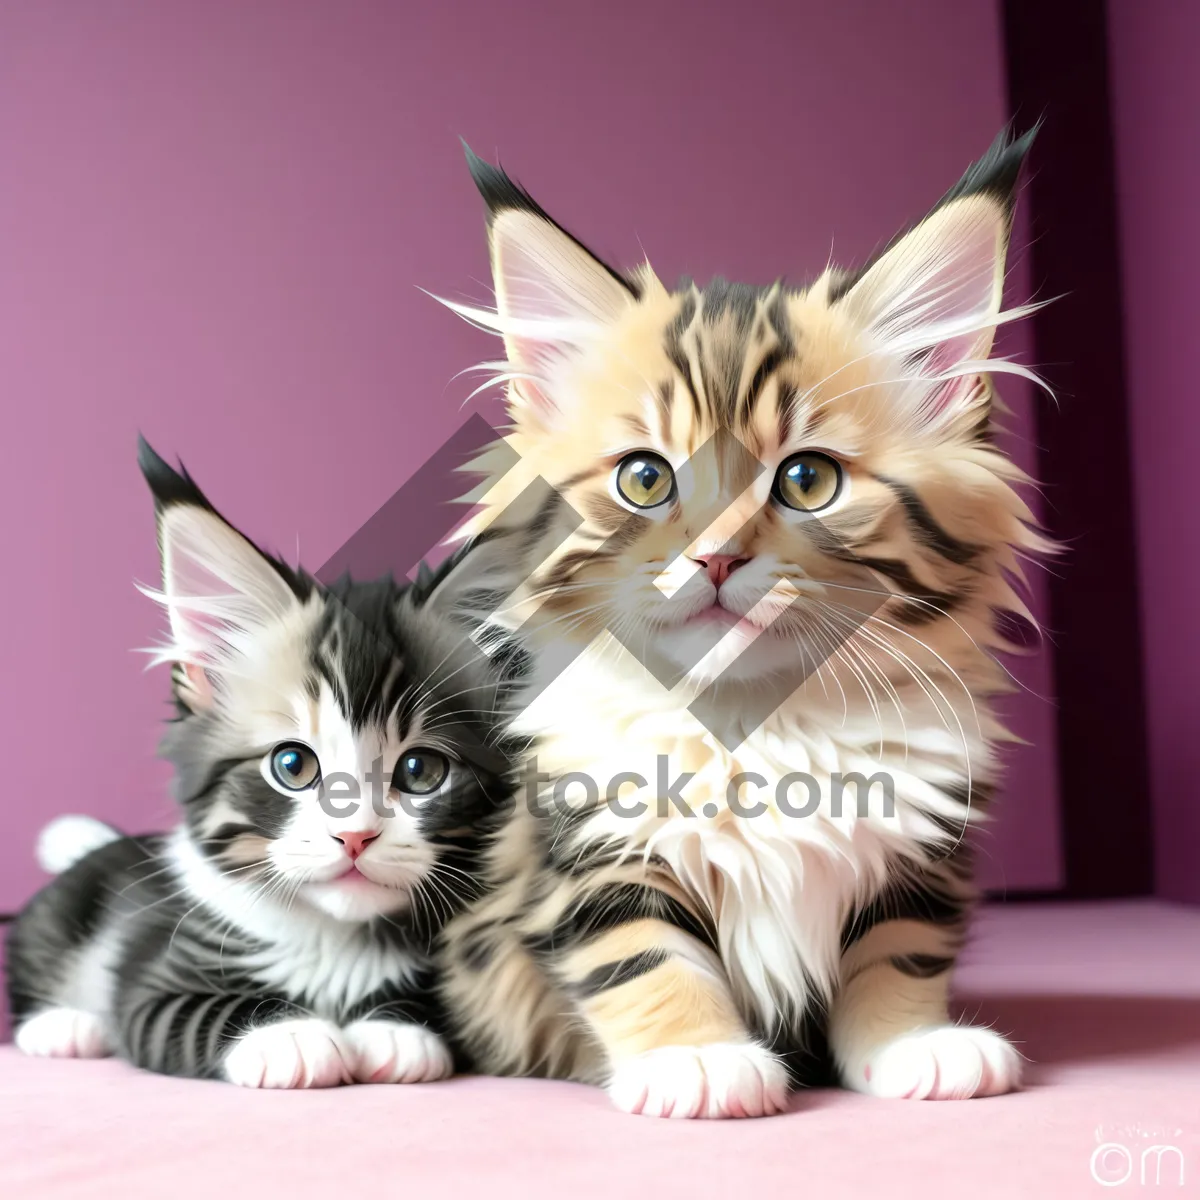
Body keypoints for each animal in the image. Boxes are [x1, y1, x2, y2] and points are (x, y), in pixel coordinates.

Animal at [4, 439, 513, 1089]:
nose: (355, 836)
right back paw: (64, 1026)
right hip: (54, 919)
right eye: (293, 765)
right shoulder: (154, 980)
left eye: (420, 772)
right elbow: (197, 1007)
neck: (331, 938)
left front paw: (395, 1029)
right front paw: (290, 1034)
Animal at [439, 129, 1051, 1113]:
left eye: (807, 479)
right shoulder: (587, 849)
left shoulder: (921, 847)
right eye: (645, 478)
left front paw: (916, 1045)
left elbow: (898, 952)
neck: (756, 722)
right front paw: (696, 1059)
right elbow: (642, 957)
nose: (717, 557)